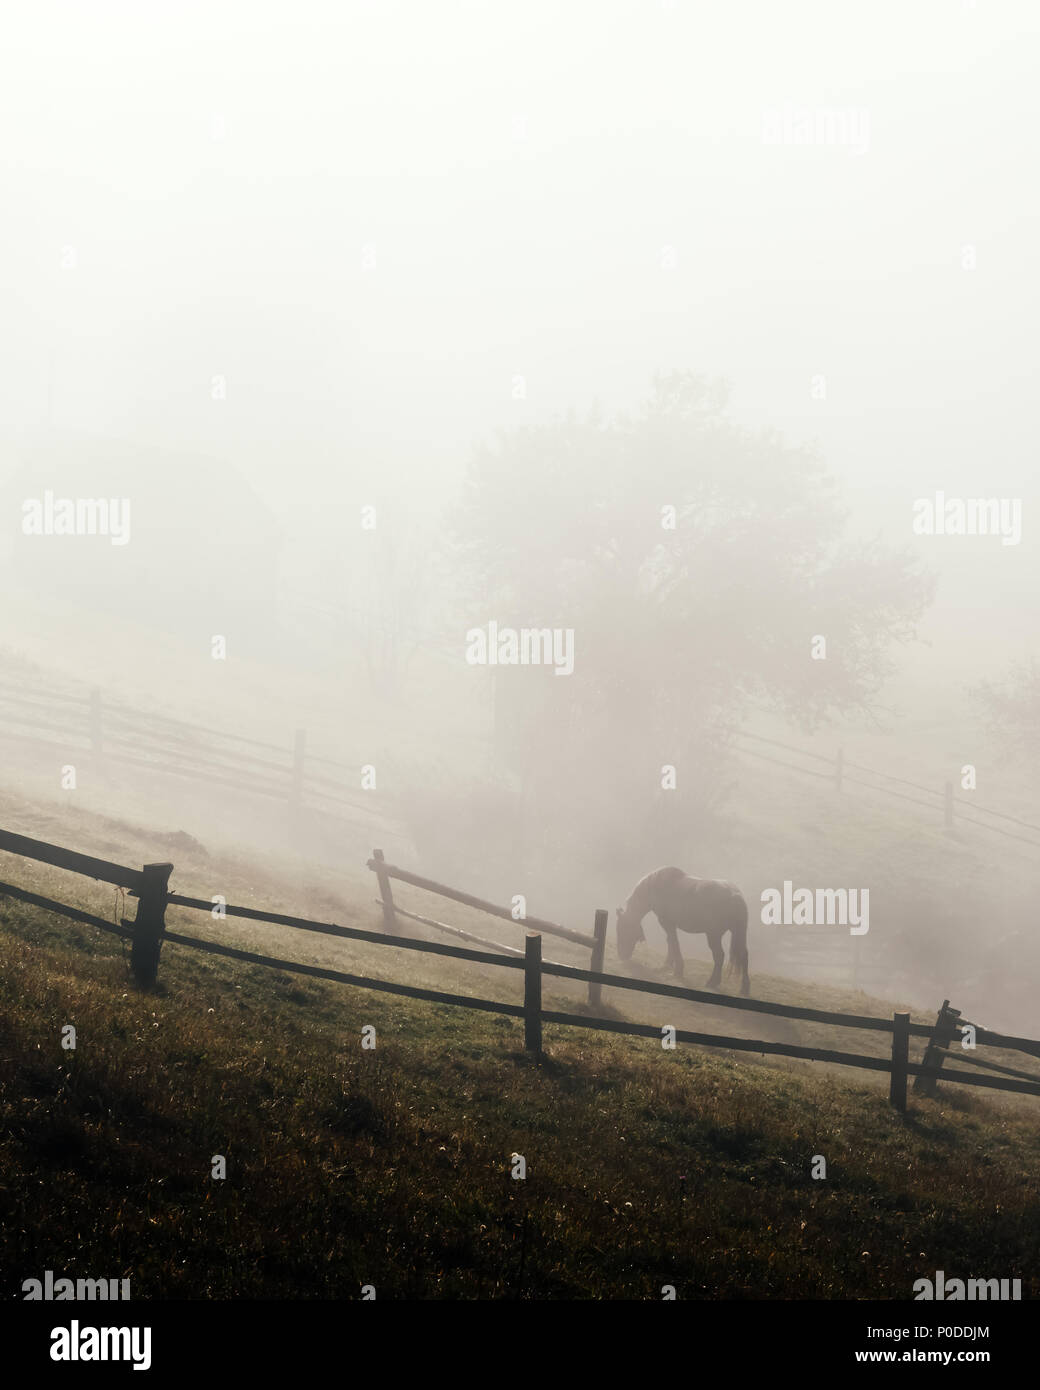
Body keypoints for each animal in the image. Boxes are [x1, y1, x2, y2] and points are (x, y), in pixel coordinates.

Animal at [614, 861, 750, 995]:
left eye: (622, 930)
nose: (621, 955)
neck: (656, 886)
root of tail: (735, 895)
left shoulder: (667, 923)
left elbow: (674, 943)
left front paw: (677, 971)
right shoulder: (669, 924)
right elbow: (670, 941)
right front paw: (667, 966)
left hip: (713, 935)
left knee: (719, 955)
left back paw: (712, 982)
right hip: (737, 934)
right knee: (743, 955)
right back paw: (744, 988)